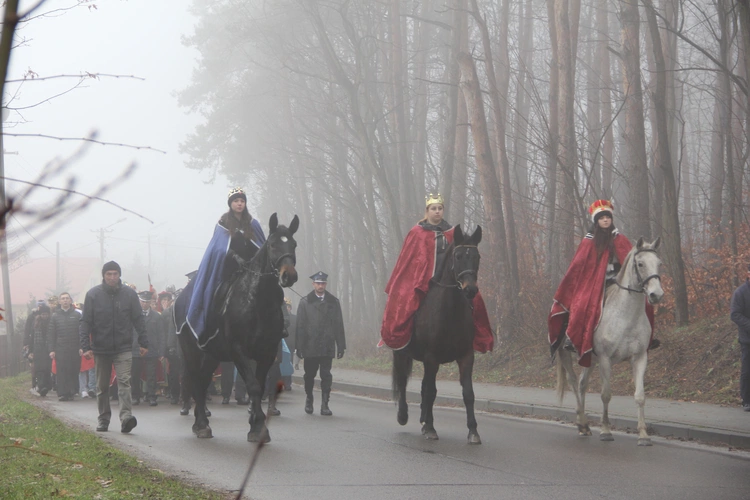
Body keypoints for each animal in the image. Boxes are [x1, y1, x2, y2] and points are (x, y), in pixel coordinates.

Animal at [179, 213, 300, 444]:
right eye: (272, 244)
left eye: (294, 244)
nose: (289, 275)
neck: (257, 302)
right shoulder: (238, 350)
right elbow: (252, 385)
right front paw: (259, 426)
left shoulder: (267, 352)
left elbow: (259, 385)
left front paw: (256, 424)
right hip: (190, 350)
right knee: (195, 380)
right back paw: (201, 424)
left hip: (212, 354)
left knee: (203, 379)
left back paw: (201, 421)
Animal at [394, 225, 488, 444]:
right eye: (458, 256)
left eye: (477, 257)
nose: (470, 290)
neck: (449, 312)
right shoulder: (432, 358)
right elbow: (431, 392)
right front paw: (430, 427)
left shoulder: (466, 356)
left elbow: (468, 393)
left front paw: (473, 431)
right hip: (401, 351)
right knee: (402, 381)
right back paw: (404, 416)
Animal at [560, 236, 664, 448]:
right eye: (640, 264)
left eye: (659, 263)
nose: (656, 295)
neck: (626, 316)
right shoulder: (605, 359)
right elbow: (606, 394)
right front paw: (606, 431)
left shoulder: (640, 357)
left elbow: (640, 396)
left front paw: (643, 435)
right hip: (566, 354)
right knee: (573, 382)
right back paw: (582, 422)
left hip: (589, 358)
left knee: (582, 384)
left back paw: (584, 426)